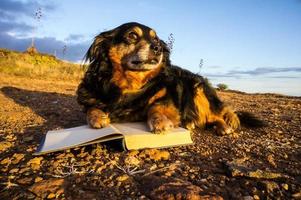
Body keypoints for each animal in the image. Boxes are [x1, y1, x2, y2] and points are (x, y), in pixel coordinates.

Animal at [76, 21, 264, 135]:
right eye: (132, 35)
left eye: (156, 39)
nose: (158, 47)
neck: (131, 84)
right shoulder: (89, 96)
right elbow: (91, 108)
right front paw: (97, 117)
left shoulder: (167, 101)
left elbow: (155, 108)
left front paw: (160, 122)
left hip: (197, 89)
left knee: (216, 115)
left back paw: (222, 126)